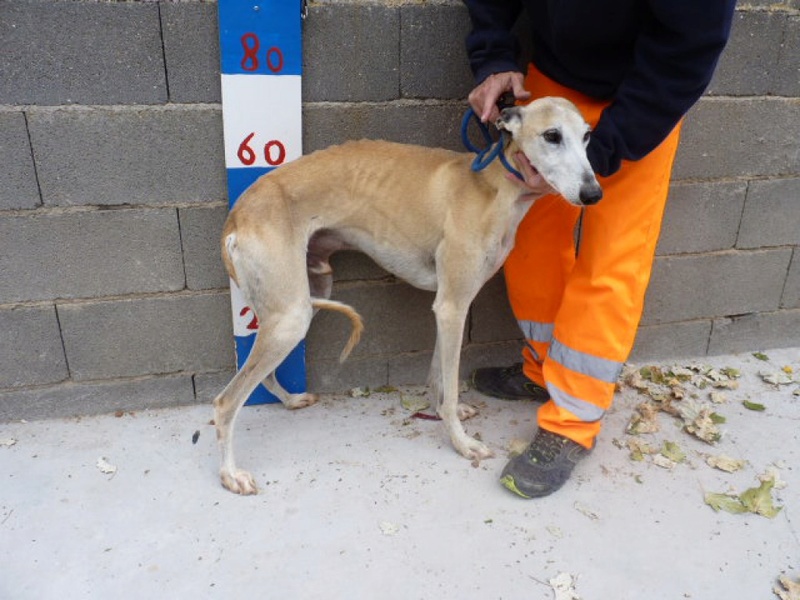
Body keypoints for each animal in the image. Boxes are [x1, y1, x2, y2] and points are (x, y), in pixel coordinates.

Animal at [212, 97, 600, 492]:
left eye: (587, 136)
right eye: (552, 135)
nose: (593, 194)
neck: (493, 188)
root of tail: (237, 215)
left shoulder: (450, 306)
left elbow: (438, 374)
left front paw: (444, 411)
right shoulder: (452, 306)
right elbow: (450, 382)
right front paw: (462, 443)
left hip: (305, 297)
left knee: (260, 373)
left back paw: (290, 400)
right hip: (291, 316)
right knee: (226, 401)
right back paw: (230, 474)